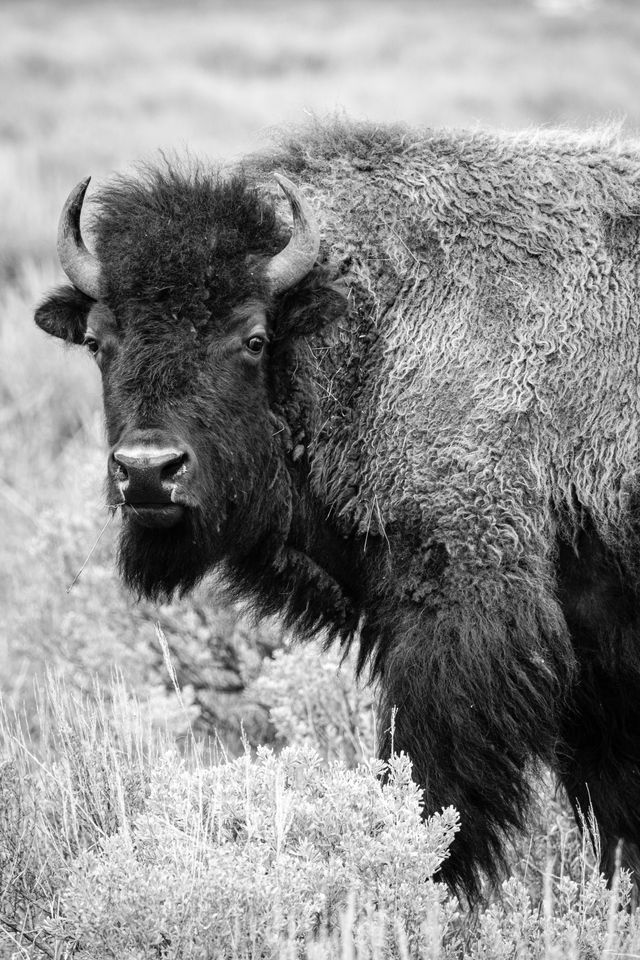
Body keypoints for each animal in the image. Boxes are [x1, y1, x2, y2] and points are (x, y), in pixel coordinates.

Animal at [35, 120, 640, 900]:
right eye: (97, 341)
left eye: (253, 337)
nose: (147, 472)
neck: (365, 330)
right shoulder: (594, 655)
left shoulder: (464, 607)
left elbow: (432, 783)